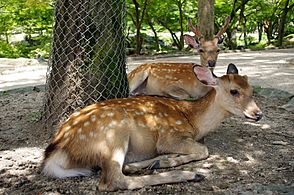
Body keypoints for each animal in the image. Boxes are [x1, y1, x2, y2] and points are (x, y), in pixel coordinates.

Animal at [42, 63, 262, 191]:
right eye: (234, 91)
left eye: (251, 89)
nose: (258, 114)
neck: (192, 119)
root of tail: (56, 150)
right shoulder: (169, 136)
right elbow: (204, 150)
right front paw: (173, 160)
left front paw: (165, 160)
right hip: (114, 134)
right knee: (113, 181)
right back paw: (189, 174)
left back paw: (152, 163)